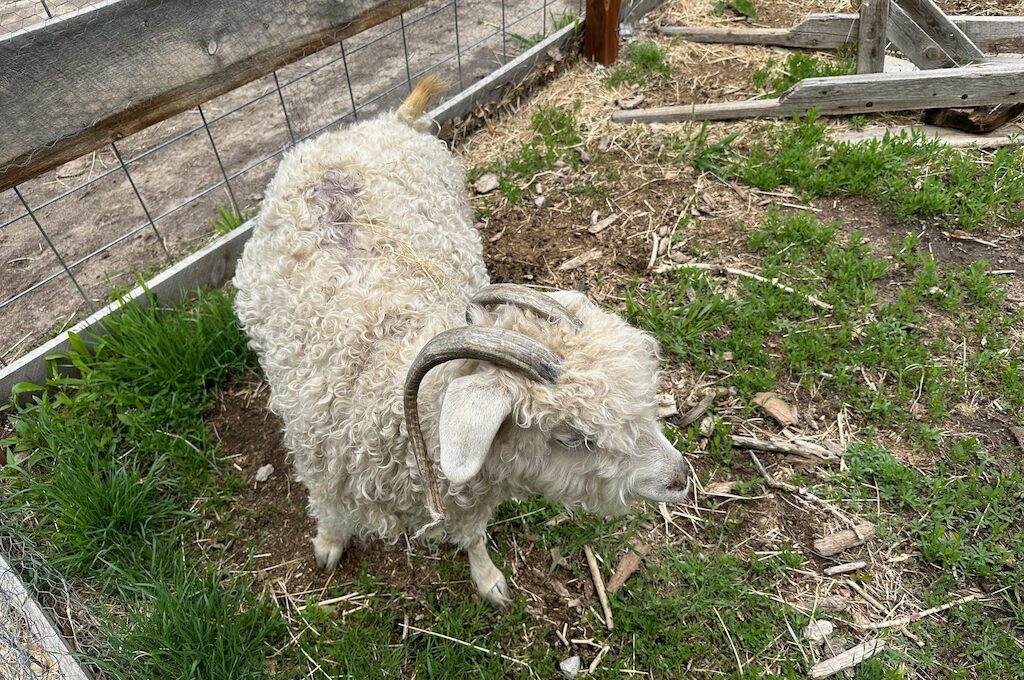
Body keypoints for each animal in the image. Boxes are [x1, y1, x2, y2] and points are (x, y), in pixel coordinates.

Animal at [234, 79, 688, 606]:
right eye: (574, 438)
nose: (680, 478)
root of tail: (387, 122)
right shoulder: (321, 468)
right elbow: (328, 511)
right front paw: (327, 546)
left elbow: (472, 538)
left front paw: (488, 580)